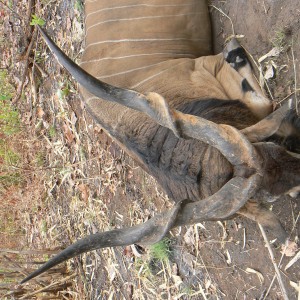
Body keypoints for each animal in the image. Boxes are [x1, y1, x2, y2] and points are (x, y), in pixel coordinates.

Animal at [21, 0, 300, 284]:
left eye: (275, 150)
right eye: (270, 196)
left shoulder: (208, 67)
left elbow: (261, 97)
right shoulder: (211, 69)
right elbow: (261, 99)